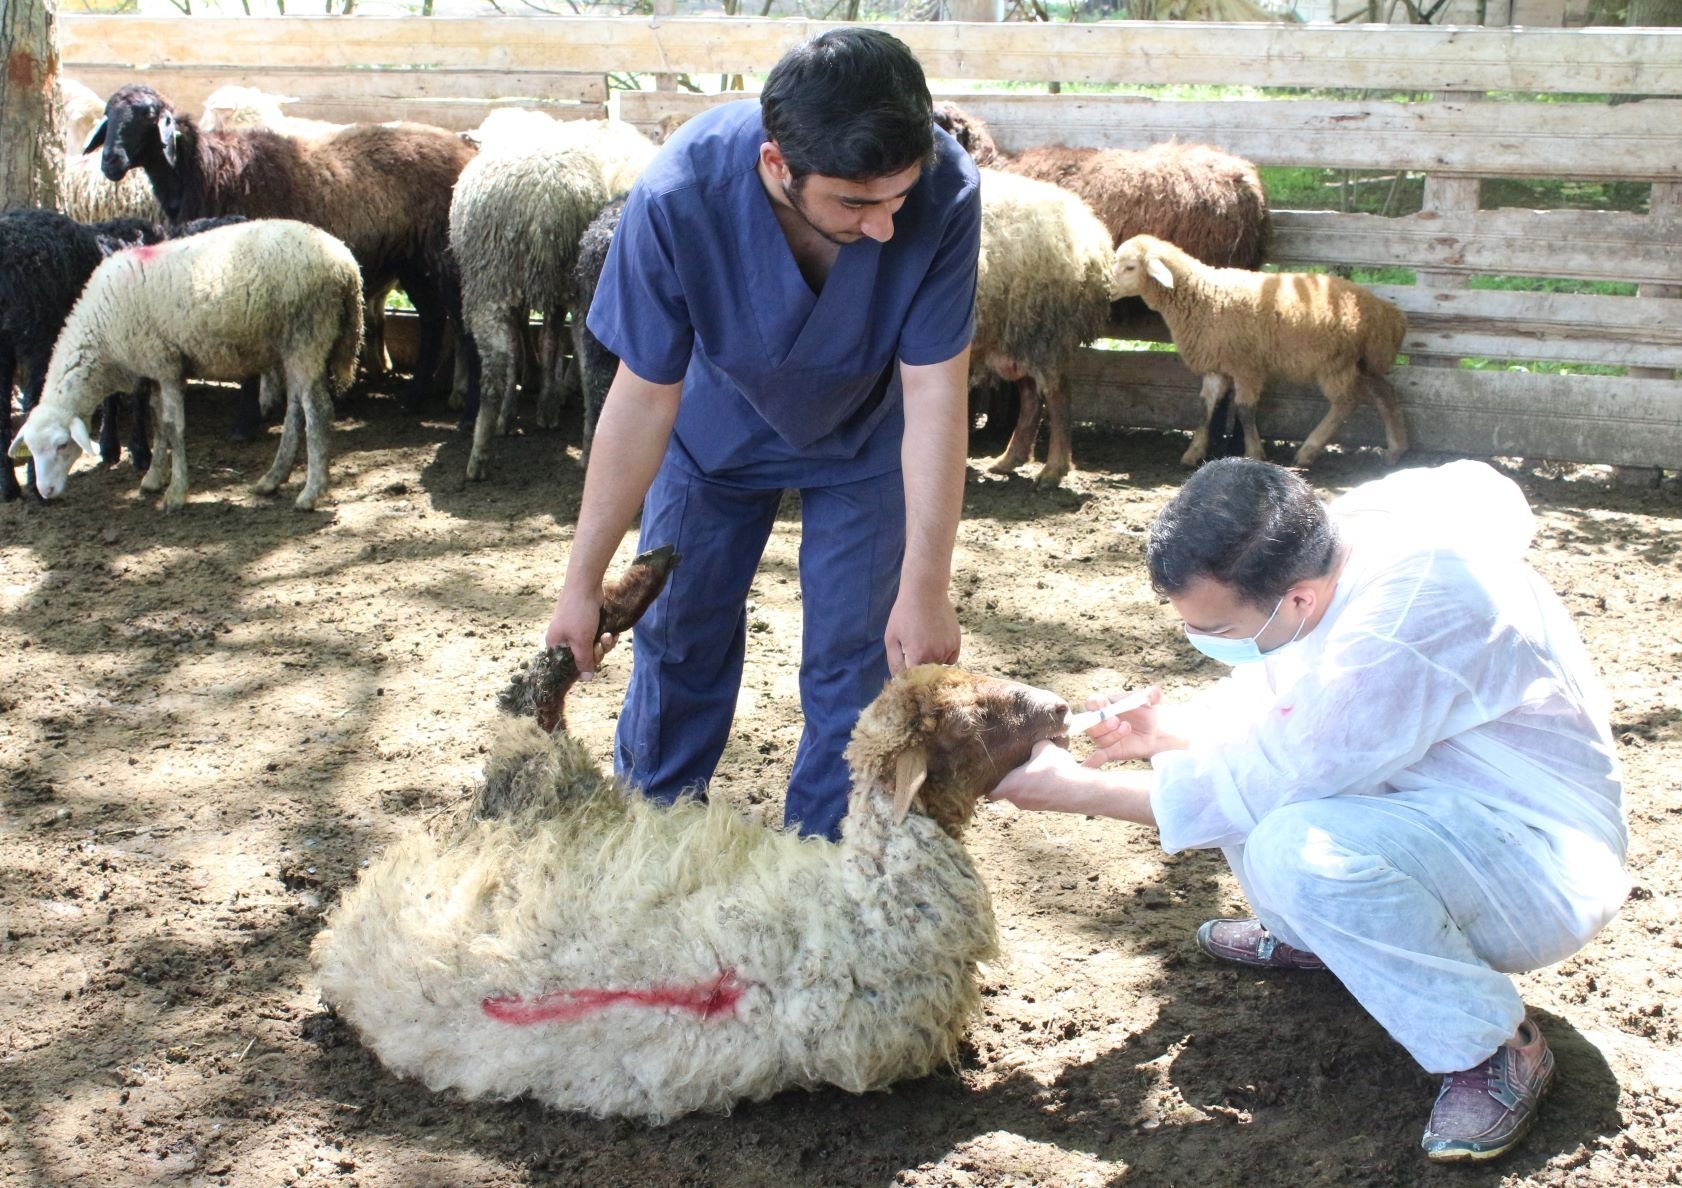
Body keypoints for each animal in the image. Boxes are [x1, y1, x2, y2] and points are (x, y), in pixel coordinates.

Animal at [314, 541, 1076, 1117]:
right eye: (975, 717)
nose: (1063, 708)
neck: (872, 901)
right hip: (536, 778)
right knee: (533, 688)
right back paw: (644, 576)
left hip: (540, 791)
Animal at [1110, 233, 1412, 464]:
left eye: (1130, 267)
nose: (1108, 290)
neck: (1204, 295)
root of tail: (1390, 315)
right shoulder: (1216, 366)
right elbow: (1205, 408)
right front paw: (1193, 453)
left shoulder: (1247, 366)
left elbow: (1244, 409)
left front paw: (1254, 452)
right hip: (1363, 362)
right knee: (1385, 392)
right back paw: (1396, 449)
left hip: (1336, 363)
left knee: (1345, 403)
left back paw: (1308, 451)